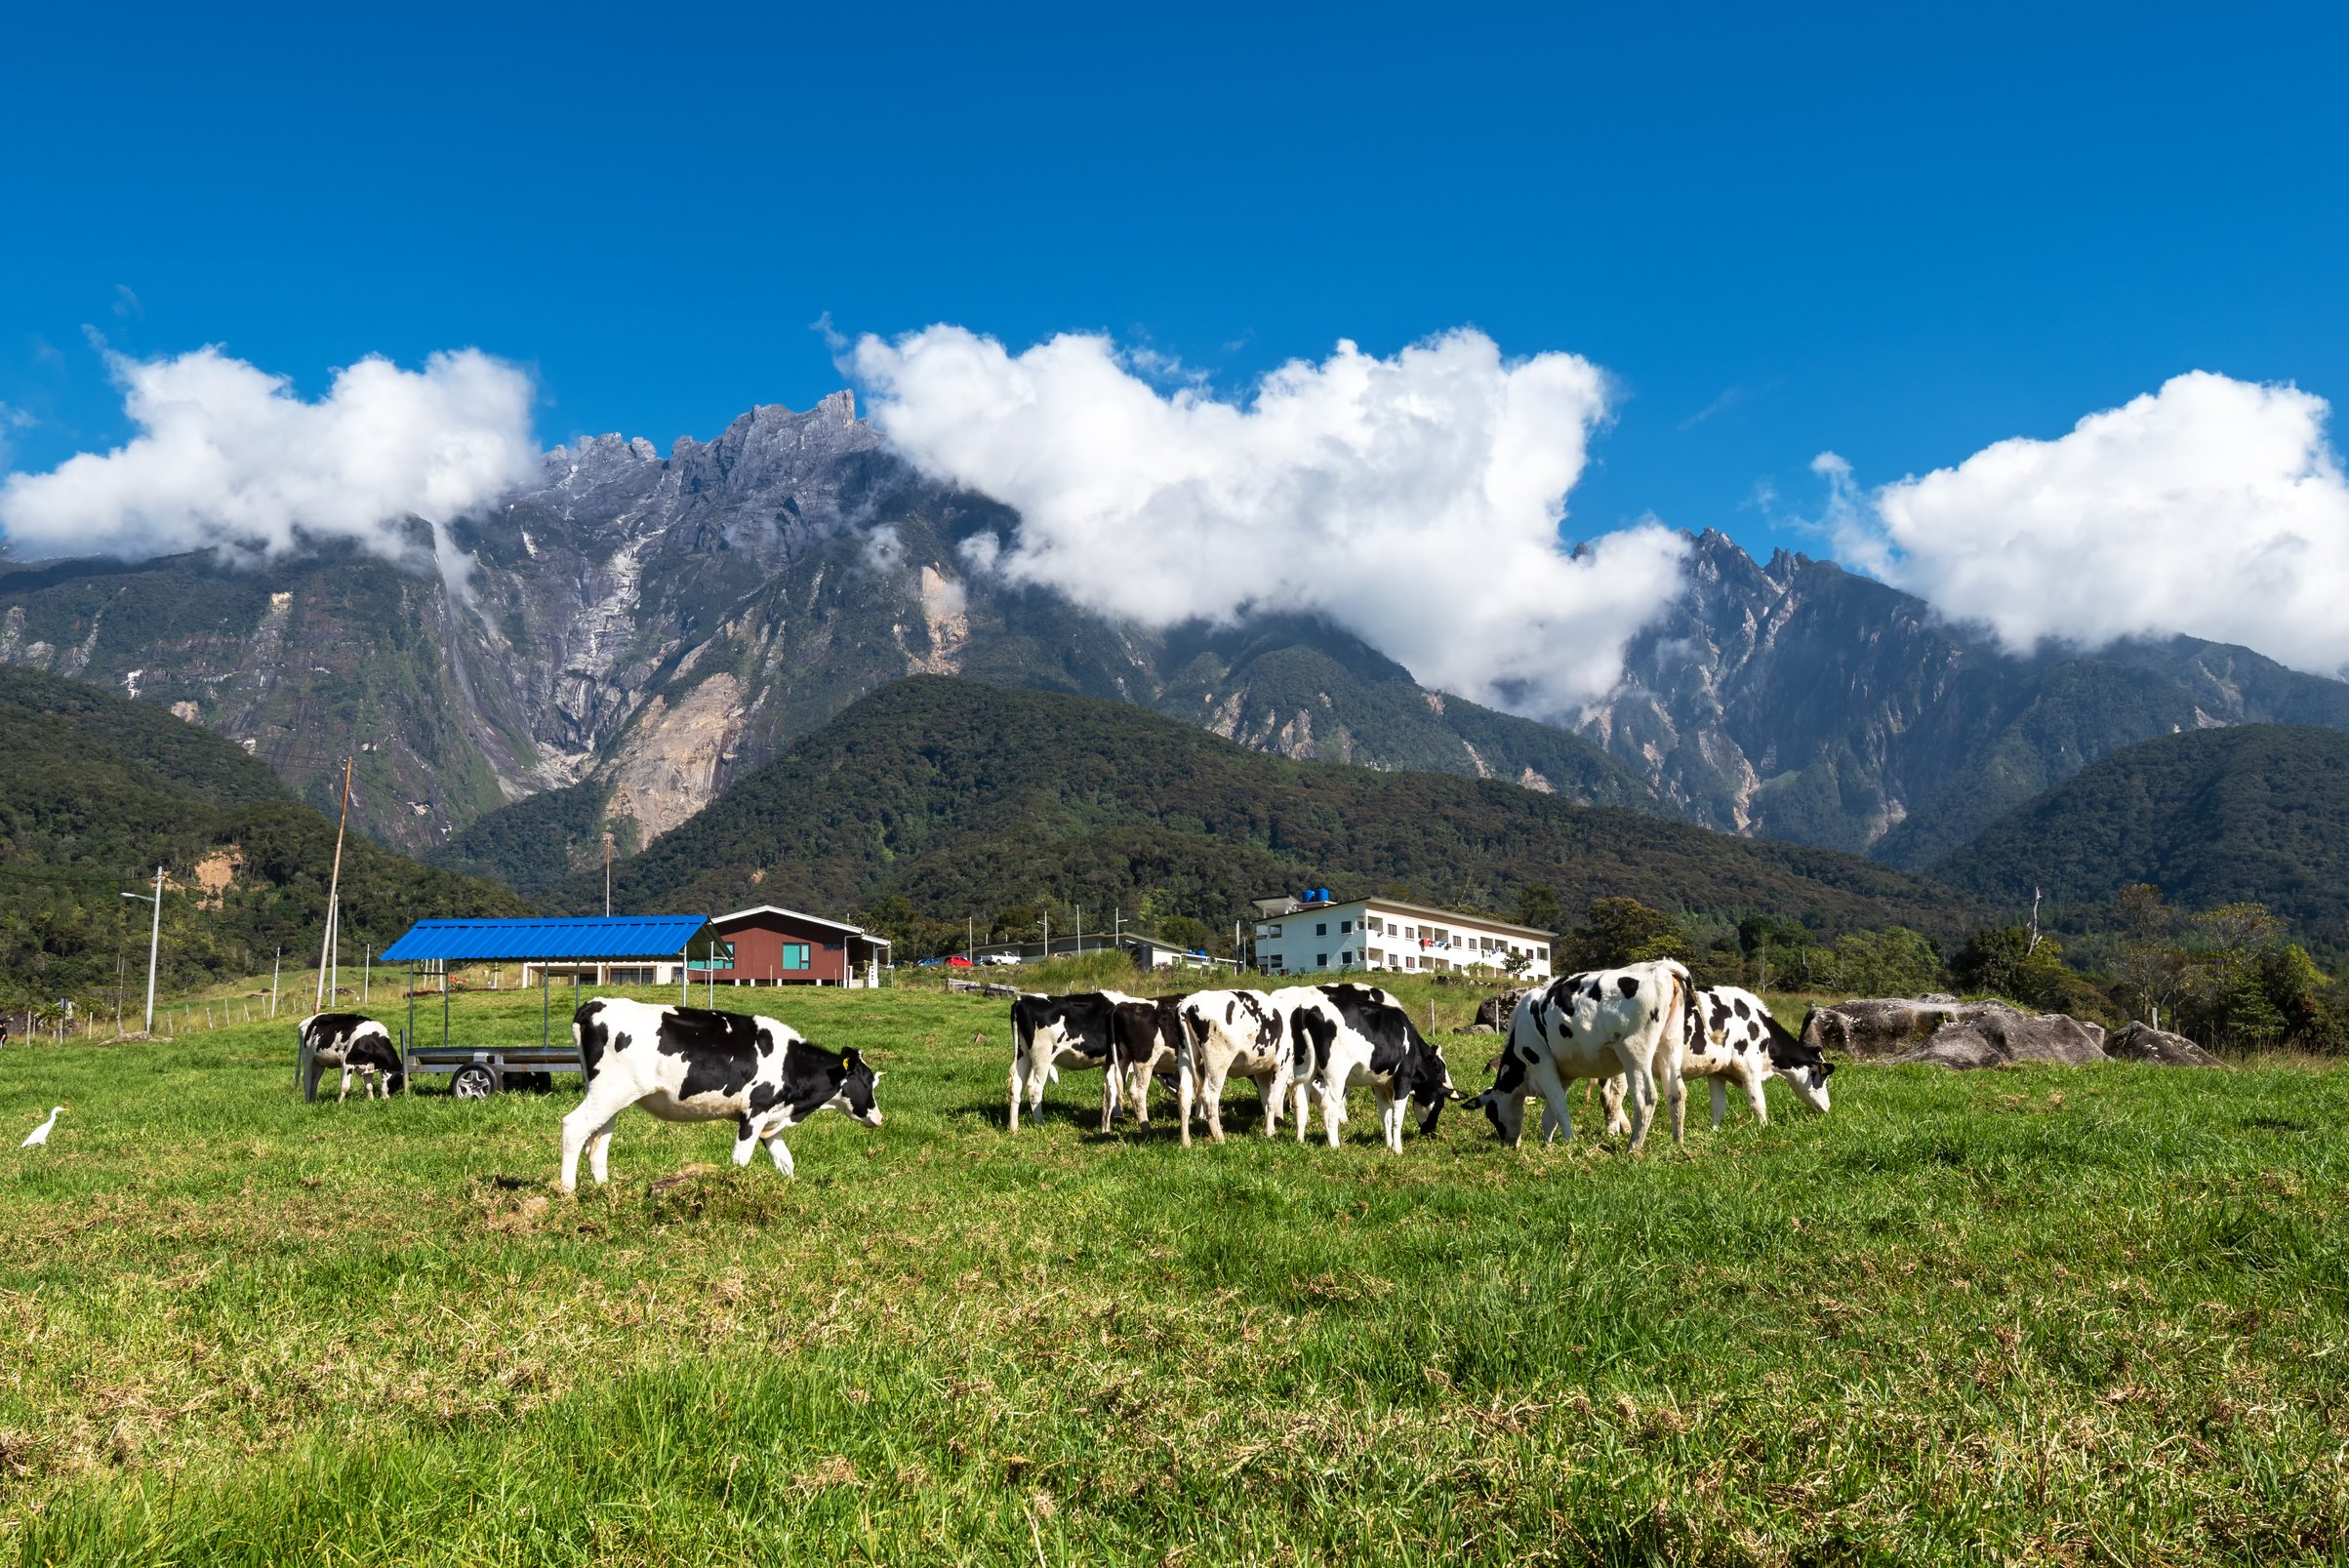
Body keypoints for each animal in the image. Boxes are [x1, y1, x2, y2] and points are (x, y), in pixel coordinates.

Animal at [558, 999, 883, 1192]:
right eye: (867, 1081)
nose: (879, 1117)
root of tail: (597, 1004)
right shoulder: (754, 1112)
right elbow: (741, 1159)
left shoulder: (771, 1122)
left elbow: (786, 1162)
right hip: (609, 1092)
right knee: (574, 1128)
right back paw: (568, 1193)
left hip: (610, 1098)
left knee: (598, 1143)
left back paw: (604, 1190)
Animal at [1005, 990, 1141, 1126]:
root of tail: (1022, 999)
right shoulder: (1121, 1060)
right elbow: (1120, 1087)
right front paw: (1119, 1117)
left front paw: (1116, 1116)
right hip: (1042, 1055)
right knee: (1035, 1089)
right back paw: (1040, 1124)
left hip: (1024, 1053)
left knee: (1017, 1085)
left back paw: (1013, 1126)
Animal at [1287, 981, 1446, 1149]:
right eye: (1440, 1105)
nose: (1430, 1130)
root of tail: (1307, 1010)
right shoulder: (1403, 1079)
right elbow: (1397, 1117)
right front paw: (1397, 1148)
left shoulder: (1379, 1084)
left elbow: (1385, 1115)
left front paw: (1388, 1144)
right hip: (1336, 1073)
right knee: (1329, 1104)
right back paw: (1334, 1145)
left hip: (1305, 1067)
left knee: (1301, 1101)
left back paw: (1300, 1141)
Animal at [1456, 957, 1700, 1149]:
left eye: (1491, 1114)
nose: (1507, 1144)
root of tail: (1660, 966)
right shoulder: (1564, 1073)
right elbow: (1549, 1114)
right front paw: (1547, 1144)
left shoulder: (1541, 1063)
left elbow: (1559, 1107)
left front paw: (1568, 1141)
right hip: (1669, 1045)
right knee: (1676, 1093)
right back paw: (1678, 1143)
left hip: (1634, 1049)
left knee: (1646, 1097)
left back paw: (1633, 1147)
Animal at [1597, 981, 1832, 1126]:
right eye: (1819, 1077)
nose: (1827, 1108)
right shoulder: (1749, 1065)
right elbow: (1758, 1102)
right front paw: (1765, 1129)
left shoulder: (1717, 1072)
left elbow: (1718, 1107)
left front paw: (1715, 1132)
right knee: (1615, 1094)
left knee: (1608, 1093)